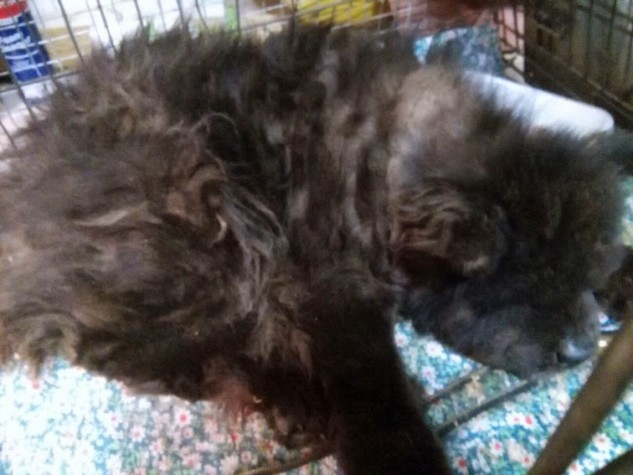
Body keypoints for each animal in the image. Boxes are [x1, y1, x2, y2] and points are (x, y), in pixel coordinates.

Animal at [0, 25, 627, 473]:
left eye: (584, 273)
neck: (379, 161)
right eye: (521, 284)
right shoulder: (329, 286)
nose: (582, 350)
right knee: (163, 354)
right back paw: (295, 397)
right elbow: (373, 387)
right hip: (200, 208)